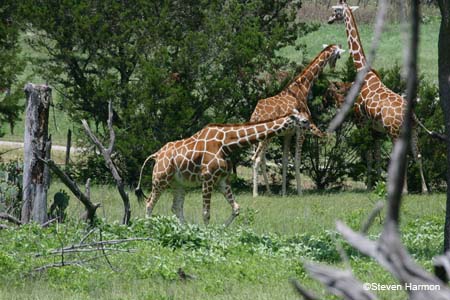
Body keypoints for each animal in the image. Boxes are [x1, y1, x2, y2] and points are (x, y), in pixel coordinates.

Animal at [134, 109, 310, 225]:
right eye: (302, 120)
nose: (310, 126)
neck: (227, 144)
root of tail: (156, 155)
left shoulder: (222, 179)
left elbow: (236, 208)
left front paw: (221, 230)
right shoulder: (208, 178)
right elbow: (206, 213)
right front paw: (206, 236)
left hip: (179, 184)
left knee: (176, 208)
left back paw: (184, 230)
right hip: (160, 179)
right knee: (149, 203)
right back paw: (148, 228)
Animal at [250, 43, 344, 196]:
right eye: (338, 56)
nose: (333, 67)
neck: (302, 88)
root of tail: (256, 114)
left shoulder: (288, 134)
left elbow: (285, 160)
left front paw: (283, 193)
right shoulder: (302, 130)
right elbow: (297, 161)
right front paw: (300, 192)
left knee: (261, 158)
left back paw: (269, 192)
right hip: (266, 136)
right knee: (257, 158)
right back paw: (256, 194)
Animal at [326, 0, 428, 192]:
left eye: (336, 11)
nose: (328, 20)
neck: (363, 72)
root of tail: (412, 114)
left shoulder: (361, 122)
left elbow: (368, 154)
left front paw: (369, 186)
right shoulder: (377, 129)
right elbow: (378, 155)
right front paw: (378, 184)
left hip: (395, 132)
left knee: (403, 157)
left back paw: (404, 189)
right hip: (413, 131)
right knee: (418, 154)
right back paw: (425, 190)